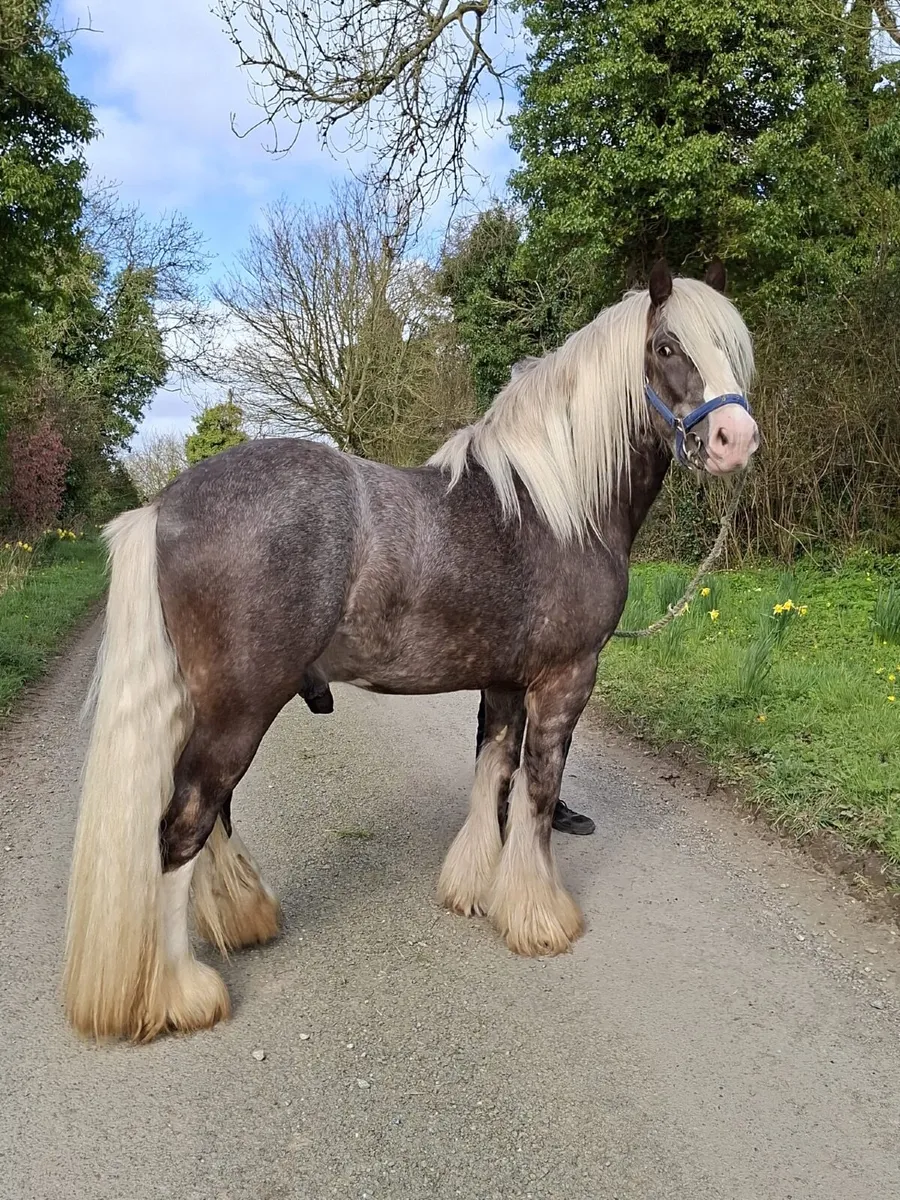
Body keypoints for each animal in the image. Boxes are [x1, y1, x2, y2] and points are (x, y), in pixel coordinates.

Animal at [63, 258, 759, 1042]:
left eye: (729, 348)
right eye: (668, 347)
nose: (736, 438)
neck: (557, 508)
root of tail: (164, 505)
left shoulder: (504, 682)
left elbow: (493, 774)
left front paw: (474, 889)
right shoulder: (565, 680)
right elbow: (538, 792)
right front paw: (540, 918)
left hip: (209, 707)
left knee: (212, 816)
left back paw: (243, 917)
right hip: (239, 710)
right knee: (183, 826)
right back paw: (183, 992)